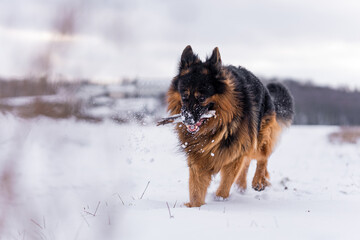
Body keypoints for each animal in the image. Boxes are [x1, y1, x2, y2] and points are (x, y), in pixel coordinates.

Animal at [167, 46, 294, 207]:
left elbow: (226, 183)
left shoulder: (234, 152)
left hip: (257, 140)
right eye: (184, 96)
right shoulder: (199, 157)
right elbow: (196, 189)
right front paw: (195, 207)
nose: (187, 120)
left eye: (201, 98)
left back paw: (259, 181)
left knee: (263, 156)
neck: (216, 125)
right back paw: (241, 186)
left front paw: (220, 200)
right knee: (247, 162)